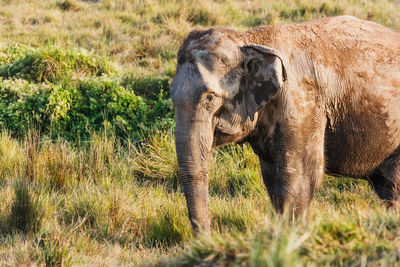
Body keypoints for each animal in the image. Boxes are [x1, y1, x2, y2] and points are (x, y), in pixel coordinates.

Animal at [169, 16, 400, 234]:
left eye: (210, 97)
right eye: (171, 94)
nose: (210, 236)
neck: (249, 40)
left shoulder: (302, 107)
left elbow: (302, 177)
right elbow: (272, 179)